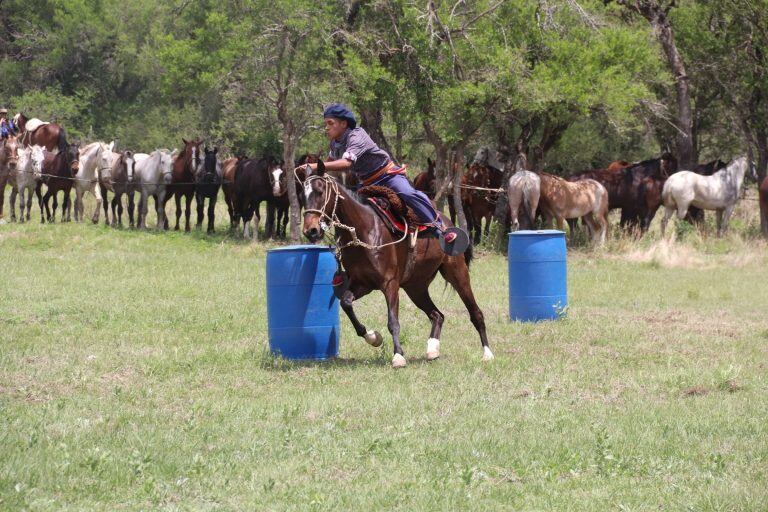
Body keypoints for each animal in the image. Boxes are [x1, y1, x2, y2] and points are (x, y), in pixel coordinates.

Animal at [300, 162, 492, 366]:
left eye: (320, 192)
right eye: (302, 195)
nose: (311, 231)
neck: (365, 229)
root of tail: (448, 224)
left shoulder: (389, 283)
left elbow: (393, 321)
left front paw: (398, 355)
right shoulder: (362, 284)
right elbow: (346, 303)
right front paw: (373, 337)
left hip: (457, 273)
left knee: (475, 313)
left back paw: (487, 353)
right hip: (416, 287)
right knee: (437, 315)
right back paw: (432, 349)